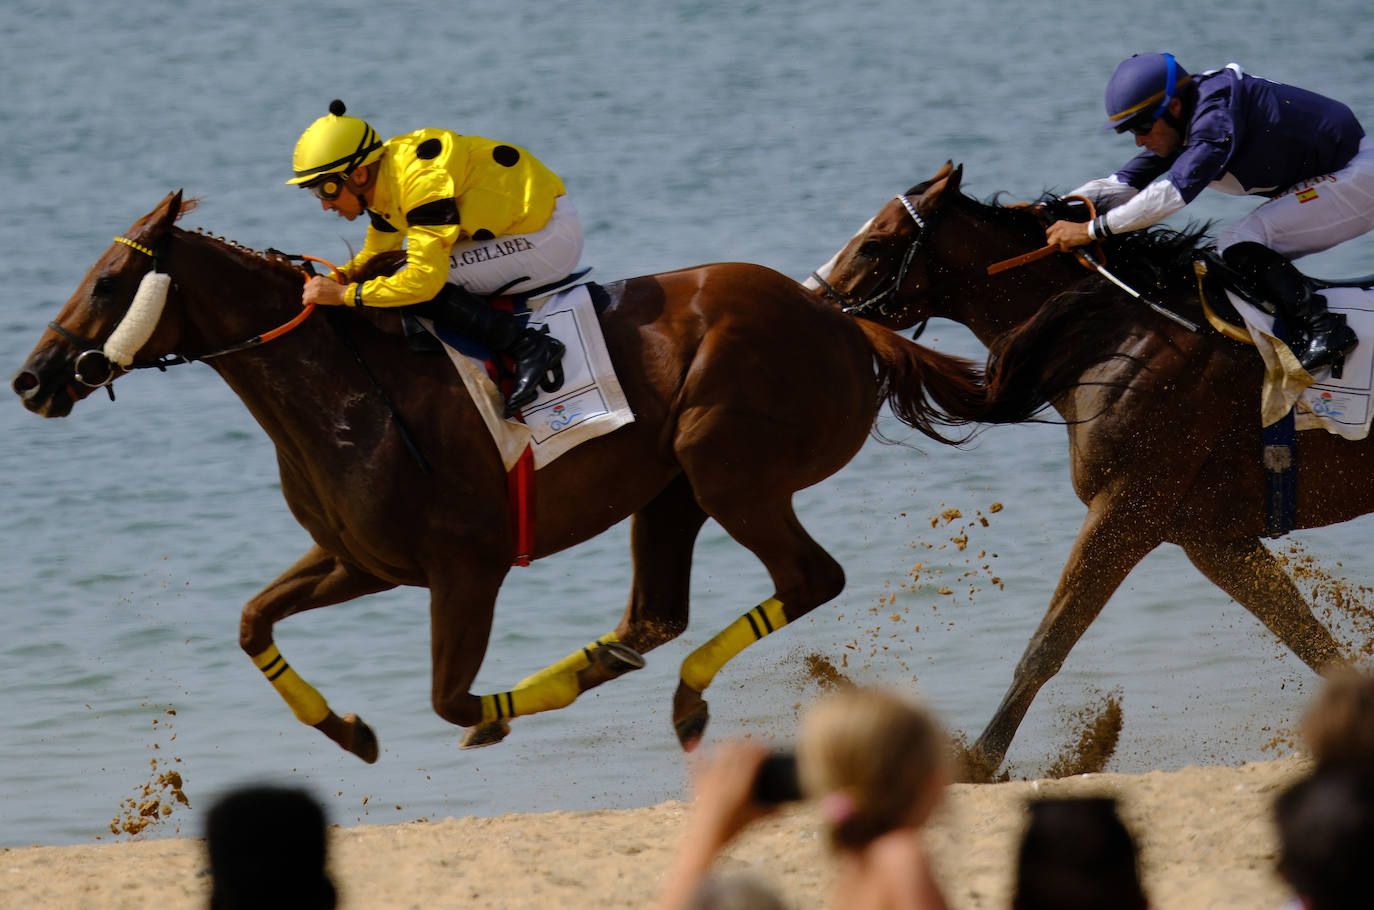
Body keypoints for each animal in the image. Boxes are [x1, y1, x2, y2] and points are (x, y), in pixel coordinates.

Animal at [16, 191, 1055, 764]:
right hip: (670, 491)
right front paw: (347, 730)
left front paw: (491, 721)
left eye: (107, 283)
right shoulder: (358, 560)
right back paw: (626, 672)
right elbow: (249, 623)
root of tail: (846, 323)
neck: (342, 387)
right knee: (657, 613)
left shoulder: (464, 568)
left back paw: (680, 694)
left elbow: (448, 696)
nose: (32, 380)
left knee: (808, 579)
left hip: (727, 468)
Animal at [807, 160, 1357, 780]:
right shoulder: (1210, 536)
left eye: (874, 244)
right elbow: (1305, 635)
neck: (1116, 337)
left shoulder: (1124, 510)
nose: (809, 303)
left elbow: (1047, 646)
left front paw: (975, 764)